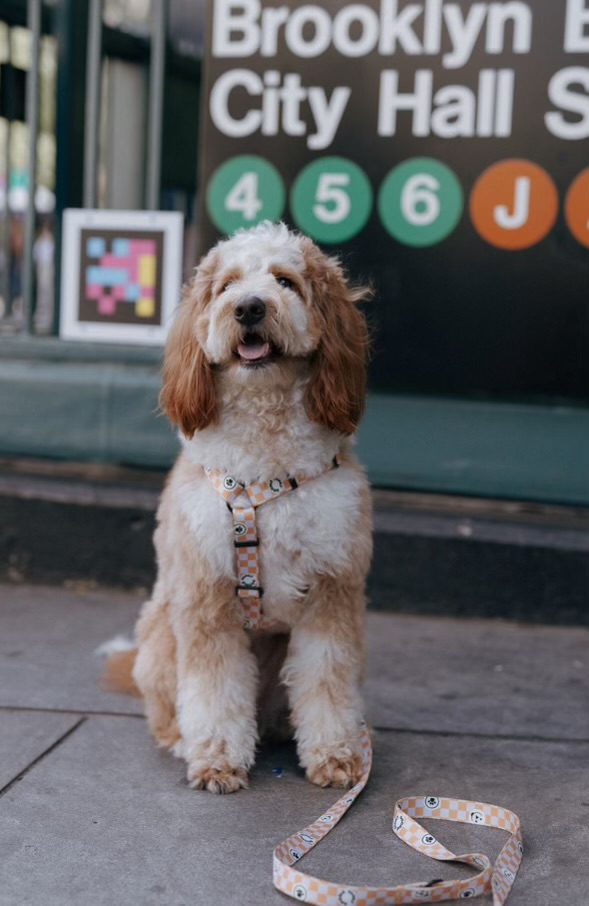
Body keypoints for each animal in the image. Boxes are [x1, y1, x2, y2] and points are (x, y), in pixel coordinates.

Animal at [106, 221, 372, 792]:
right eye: (226, 285)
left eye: (285, 281)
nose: (249, 307)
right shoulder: (206, 596)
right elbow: (214, 690)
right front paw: (217, 759)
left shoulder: (333, 588)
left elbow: (327, 681)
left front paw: (336, 754)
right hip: (161, 638)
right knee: (165, 711)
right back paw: (182, 740)